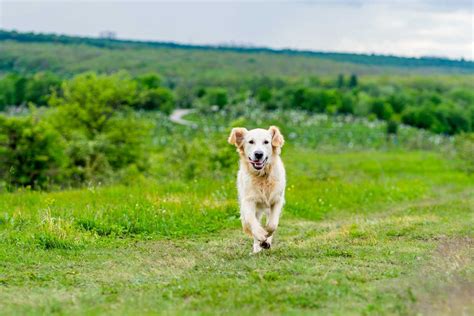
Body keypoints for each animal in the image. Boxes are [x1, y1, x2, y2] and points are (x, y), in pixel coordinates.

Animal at [229, 124, 286, 253]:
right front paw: (260, 234)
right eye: (251, 141)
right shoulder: (248, 200)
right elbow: (251, 220)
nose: (258, 154)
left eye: (266, 142)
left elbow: (272, 224)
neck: (262, 176)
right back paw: (257, 246)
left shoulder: (277, 199)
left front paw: (266, 238)